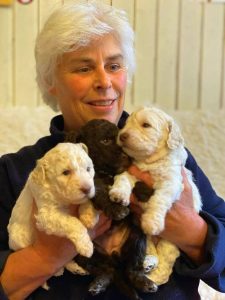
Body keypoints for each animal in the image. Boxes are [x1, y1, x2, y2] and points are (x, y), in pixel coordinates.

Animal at [7, 143, 98, 286]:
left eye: (88, 169)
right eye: (65, 172)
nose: (87, 189)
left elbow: (85, 202)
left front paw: (89, 216)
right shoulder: (46, 214)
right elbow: (73, 222)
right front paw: (86, 246)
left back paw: (75, 268)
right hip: (19, 238)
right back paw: (59, 270)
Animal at [109, 107, 202, 284]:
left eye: (146, 125)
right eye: (127, 124)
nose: (122, 136)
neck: (149, 161)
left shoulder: (171, 182)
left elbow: (158, 200)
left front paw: (152, 221)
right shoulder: (132, 170)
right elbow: (123, 178)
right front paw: (119, 193)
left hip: (170, 243)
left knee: (165, 266)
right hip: (143, 238)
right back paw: (148, 263)